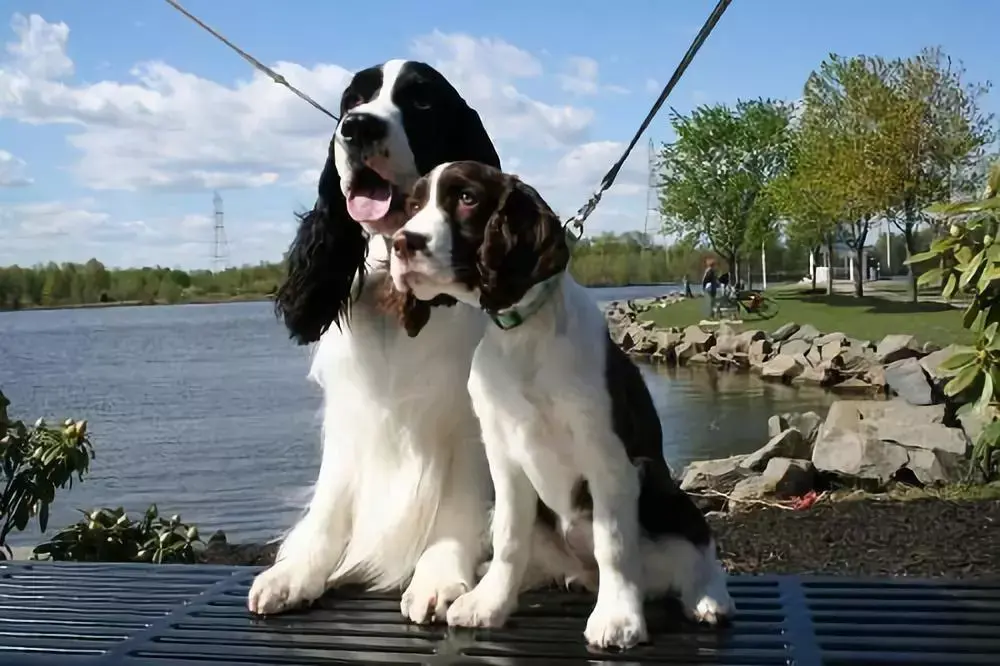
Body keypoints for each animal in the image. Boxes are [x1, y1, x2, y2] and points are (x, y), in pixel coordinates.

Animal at [248, 58, 508, 624]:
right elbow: (331, 498)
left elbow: (458, 502)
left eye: (423, 100)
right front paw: (295, 573)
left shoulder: (466, 419)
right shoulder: (351, 413)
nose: (357, 127)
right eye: (351, 101)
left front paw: (438, 576)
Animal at [382, 161, 736, 648]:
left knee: (697, 544)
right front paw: (488, 604)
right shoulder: (504, 457)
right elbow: (510, 537)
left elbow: (614, 544)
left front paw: (617, 619)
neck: (524, 335)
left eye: (468, 198)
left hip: (662, 489)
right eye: (414, 206)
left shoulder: (609, 457)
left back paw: (708, 598)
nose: (402, 243)